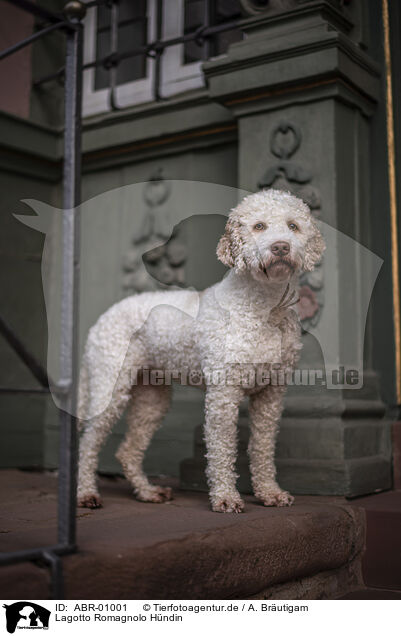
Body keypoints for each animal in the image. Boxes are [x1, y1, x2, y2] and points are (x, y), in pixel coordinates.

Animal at [76, 189, 324, 512]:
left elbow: (262, 447)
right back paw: (85, 493)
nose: (281, 247)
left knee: (128, 450)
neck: (265, 309)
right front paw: (226, 498)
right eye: (259, 226)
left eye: (293, 226)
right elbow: (221, 448)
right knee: (88, 442)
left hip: (151, 398)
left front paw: (269, 492)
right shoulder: (223, 393)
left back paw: (147, 492)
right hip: (110, 386)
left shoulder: (271, 394)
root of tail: (101, 319)